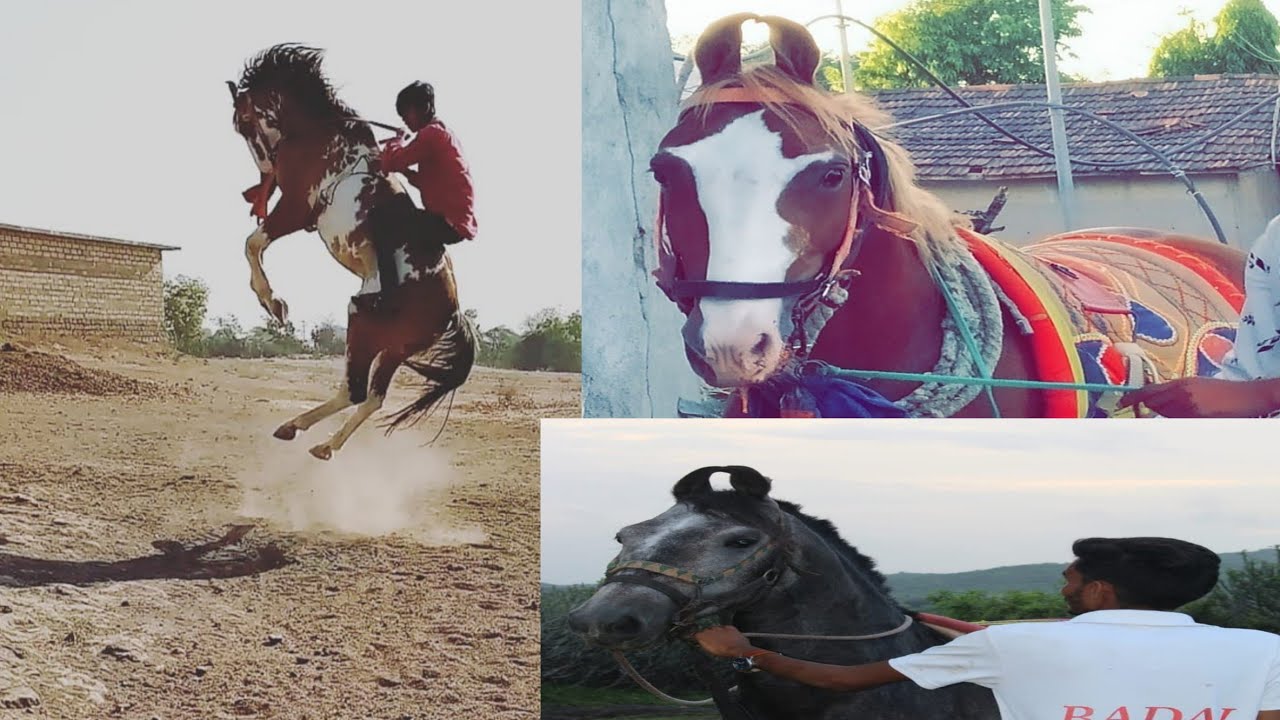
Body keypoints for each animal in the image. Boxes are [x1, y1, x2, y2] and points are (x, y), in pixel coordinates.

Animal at [227, 44, 474, 459]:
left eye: (242, 123)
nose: (264, 173)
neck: (321, 134)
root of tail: (452, 313)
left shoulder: (295, 207)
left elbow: (252, 244)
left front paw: (273, 303)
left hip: (363, 323)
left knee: (359, 390)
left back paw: (308, 434)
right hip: (392, 348)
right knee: (369, 396)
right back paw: (314, 439)